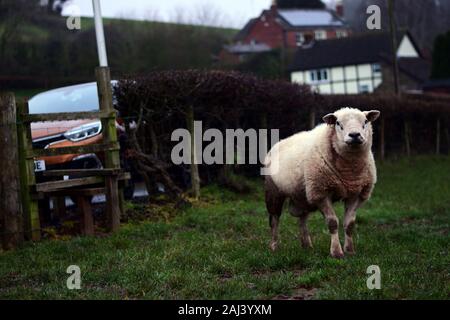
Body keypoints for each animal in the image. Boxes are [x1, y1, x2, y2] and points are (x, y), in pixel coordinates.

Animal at [264, 107, 380, 258]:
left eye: (365, 121)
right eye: (338, 123)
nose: (354, 135)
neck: (349, 171)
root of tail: (278, 143)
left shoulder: (356, 194)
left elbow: (349, 224)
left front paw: (350, 250)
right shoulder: (321, 193)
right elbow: (332, 222)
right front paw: (336, 252)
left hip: (303, 195)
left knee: (302, 219)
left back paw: (306, 245)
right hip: (273, 191)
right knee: (274, 220)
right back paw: (273, 246)